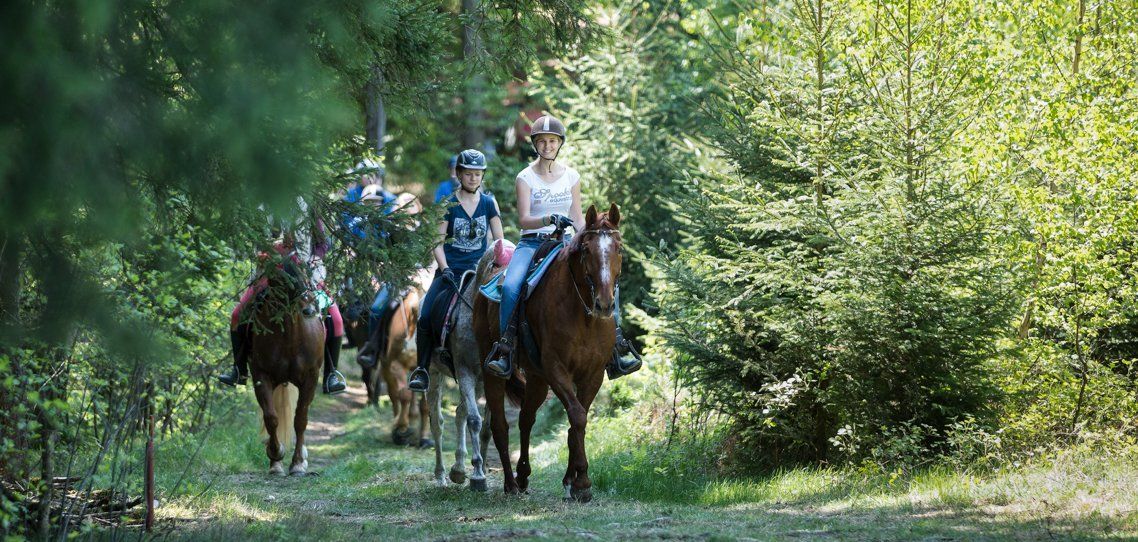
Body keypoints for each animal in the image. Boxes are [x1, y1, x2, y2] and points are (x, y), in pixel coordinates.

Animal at [246, 258, 323, 473]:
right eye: (284, 280)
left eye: (306, 273)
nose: (310, 309)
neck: (290, 337)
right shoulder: (261, 375)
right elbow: (272, 418)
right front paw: (275, 454)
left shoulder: (311, 377)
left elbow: (301, 420)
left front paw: (297, 463)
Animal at [425, 271, 491, 491]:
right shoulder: (465, 372)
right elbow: (475, 420)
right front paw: (478, 474)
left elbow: (487, 428)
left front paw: (482, 468)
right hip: (434, 375)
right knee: (437, 424)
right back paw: (441, 475)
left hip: (478, 384)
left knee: (460, 412)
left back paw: (459, 469)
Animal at [475, 203, 628, 503]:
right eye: (587, 250)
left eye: (618, 248)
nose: (604, 304)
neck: (584, 315)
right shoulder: (557, 369)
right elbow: (577, 416)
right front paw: (583, 482)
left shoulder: (592, 374)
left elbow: (577, 421)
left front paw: (572, 481)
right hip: (495, 373)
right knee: (500, 426)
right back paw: (510, 484)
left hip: (536, 378)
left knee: (526, 419)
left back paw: (523, 475)